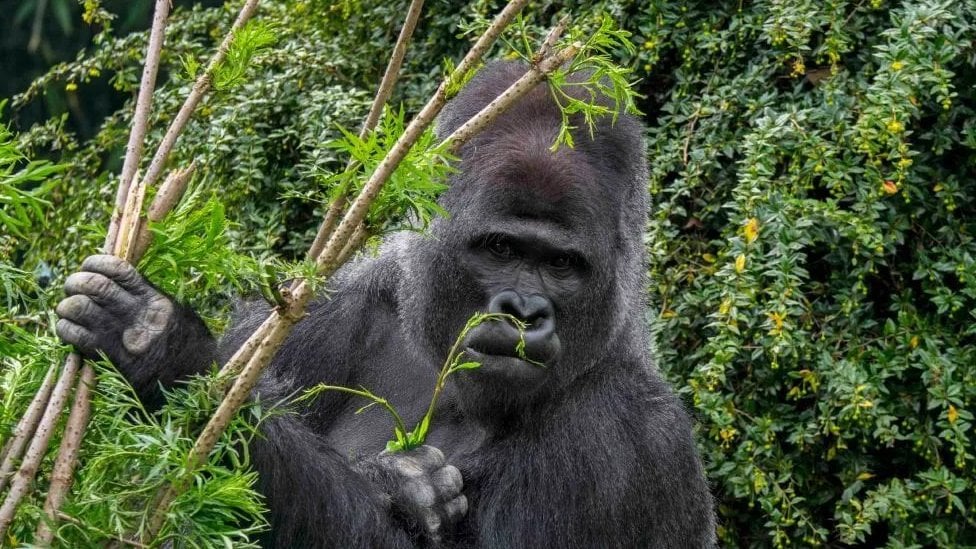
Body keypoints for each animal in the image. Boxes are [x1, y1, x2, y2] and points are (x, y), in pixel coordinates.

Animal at [57, 62, 716, 544]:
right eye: (501, 248)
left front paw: (167, 355)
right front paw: (401, 485)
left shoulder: (629, 436)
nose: (524, 311)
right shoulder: (316, 311)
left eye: (561, 265)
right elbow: (140, 504)